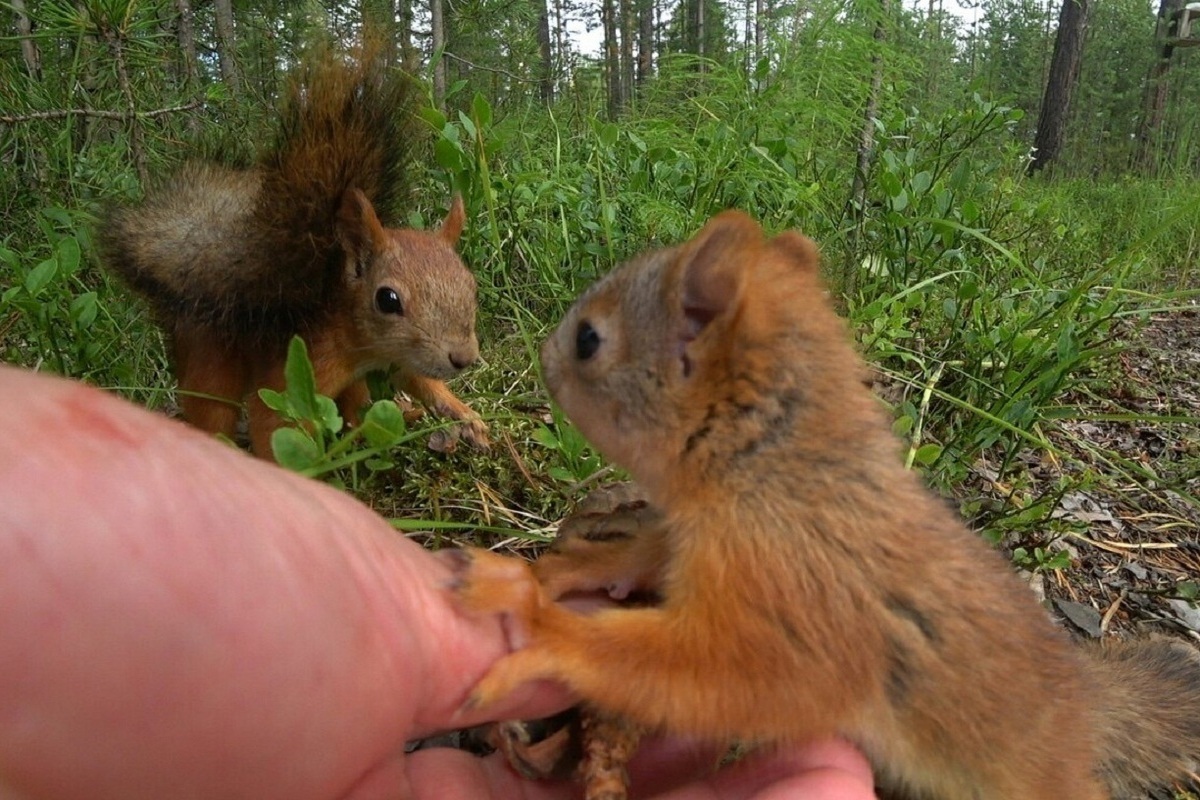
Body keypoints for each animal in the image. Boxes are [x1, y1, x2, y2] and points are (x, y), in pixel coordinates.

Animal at [98, 40, 482, 460]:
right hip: (209, 359)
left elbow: (421, 381)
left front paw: (467, 416)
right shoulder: (299, 368)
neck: (350, 329)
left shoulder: (396, 358)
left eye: (472, 285)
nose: (463, 359)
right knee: (212, 410)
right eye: (388, 299)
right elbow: (272, 425)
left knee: (355, 405)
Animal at [451, 211, 1200, 800]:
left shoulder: (795, 596)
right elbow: (651, 554)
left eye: (588, 340)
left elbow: (727, 677)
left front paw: (539, 620)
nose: (542, 354)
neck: (773, 470)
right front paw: (571, 567)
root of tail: (1086, 712)